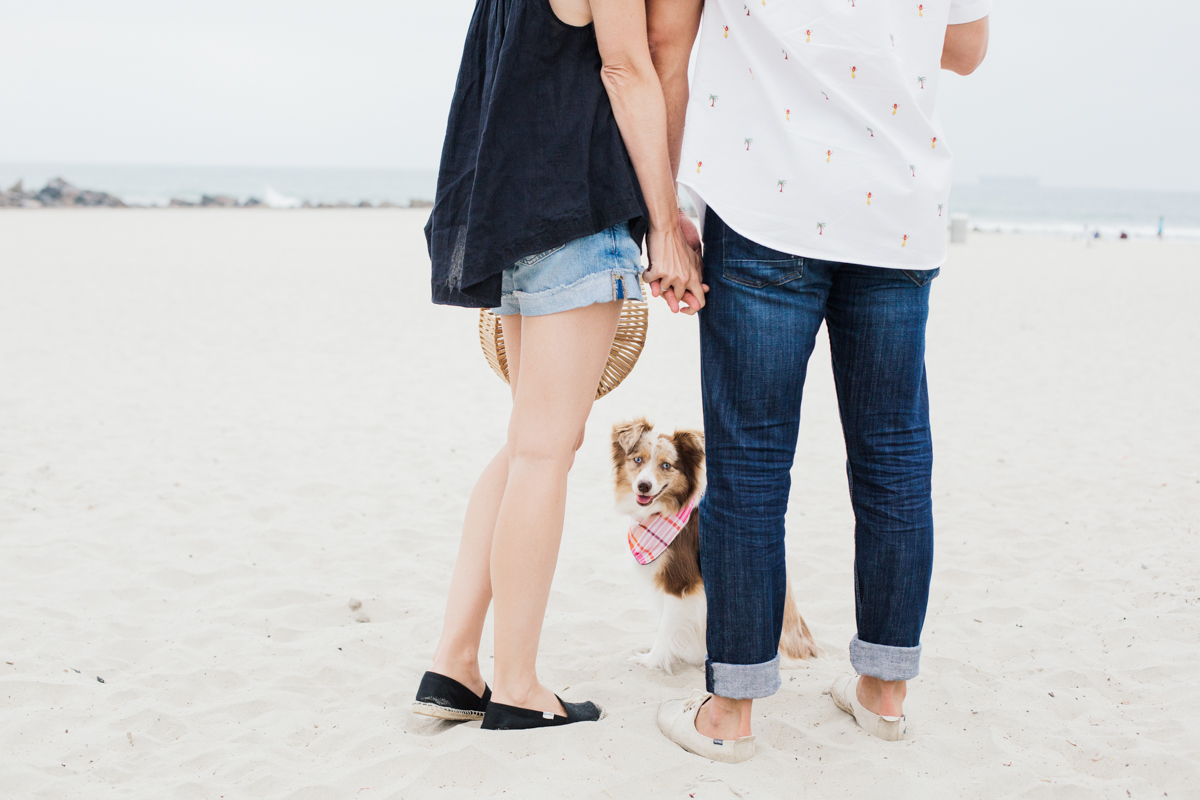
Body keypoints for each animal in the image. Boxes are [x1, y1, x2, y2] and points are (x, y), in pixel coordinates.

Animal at [614, 419, 820, 676]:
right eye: (638, 460)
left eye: (666, 465)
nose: (643, 486)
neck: (663, 511)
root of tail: (806, 645)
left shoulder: (681, 583)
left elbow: (667, 626)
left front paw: (651, 660)